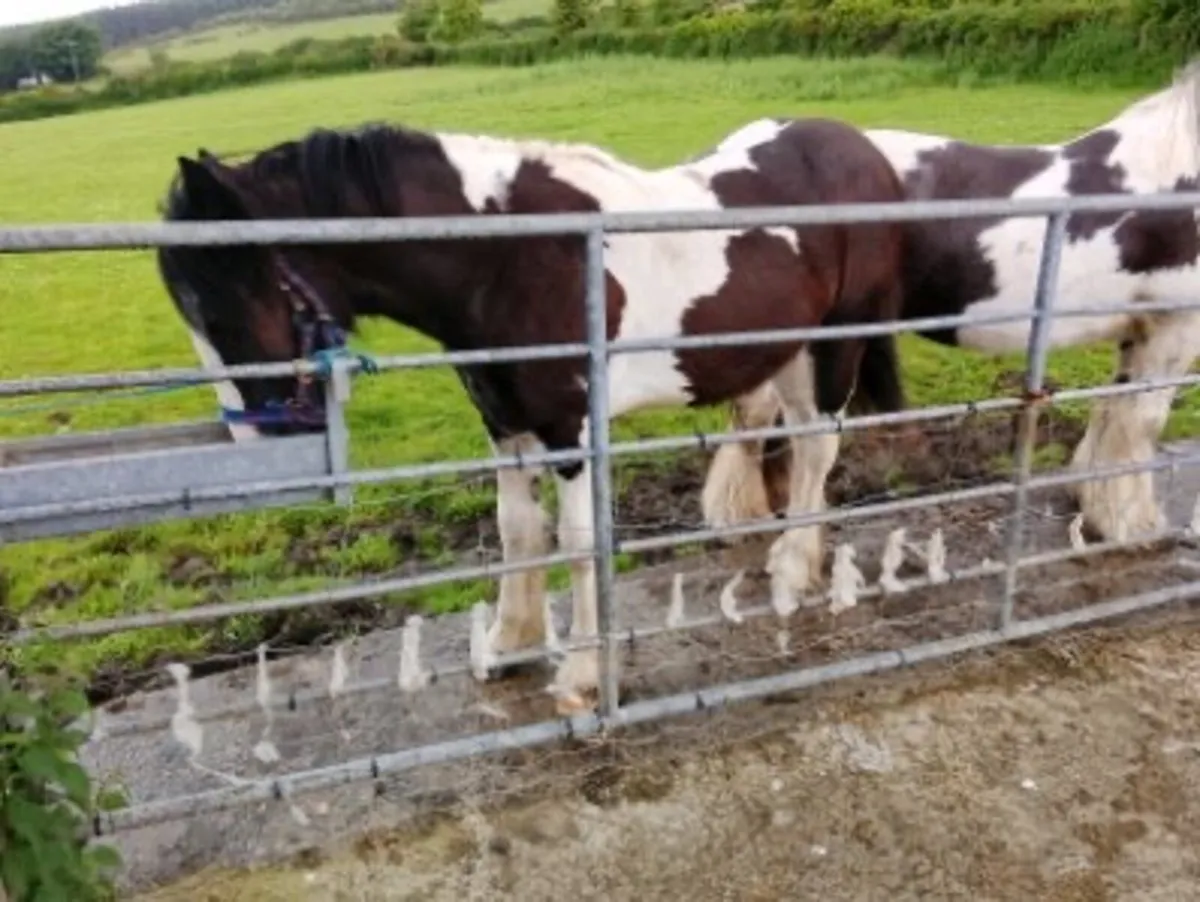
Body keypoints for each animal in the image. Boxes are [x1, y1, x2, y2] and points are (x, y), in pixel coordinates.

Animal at [155, 115, 910, 708]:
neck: (507, 255)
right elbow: (516, 530)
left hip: (833, 349)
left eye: (220, 308)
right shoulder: (504, 422)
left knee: (816, 449)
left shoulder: (569, 429)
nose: (257, 442)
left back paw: (793, 570)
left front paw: (581, 672)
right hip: (785, 353)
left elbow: (577, 543)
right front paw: (508, 645)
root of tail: (861, 148)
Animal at [703, 61, 1200, 549]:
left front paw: (1096, 506)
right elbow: (1141, 425)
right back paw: (741, 518)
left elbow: (1111, 411)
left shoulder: (1140, 330)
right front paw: (1132, 525)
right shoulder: (1174, 329)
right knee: (756, 416)